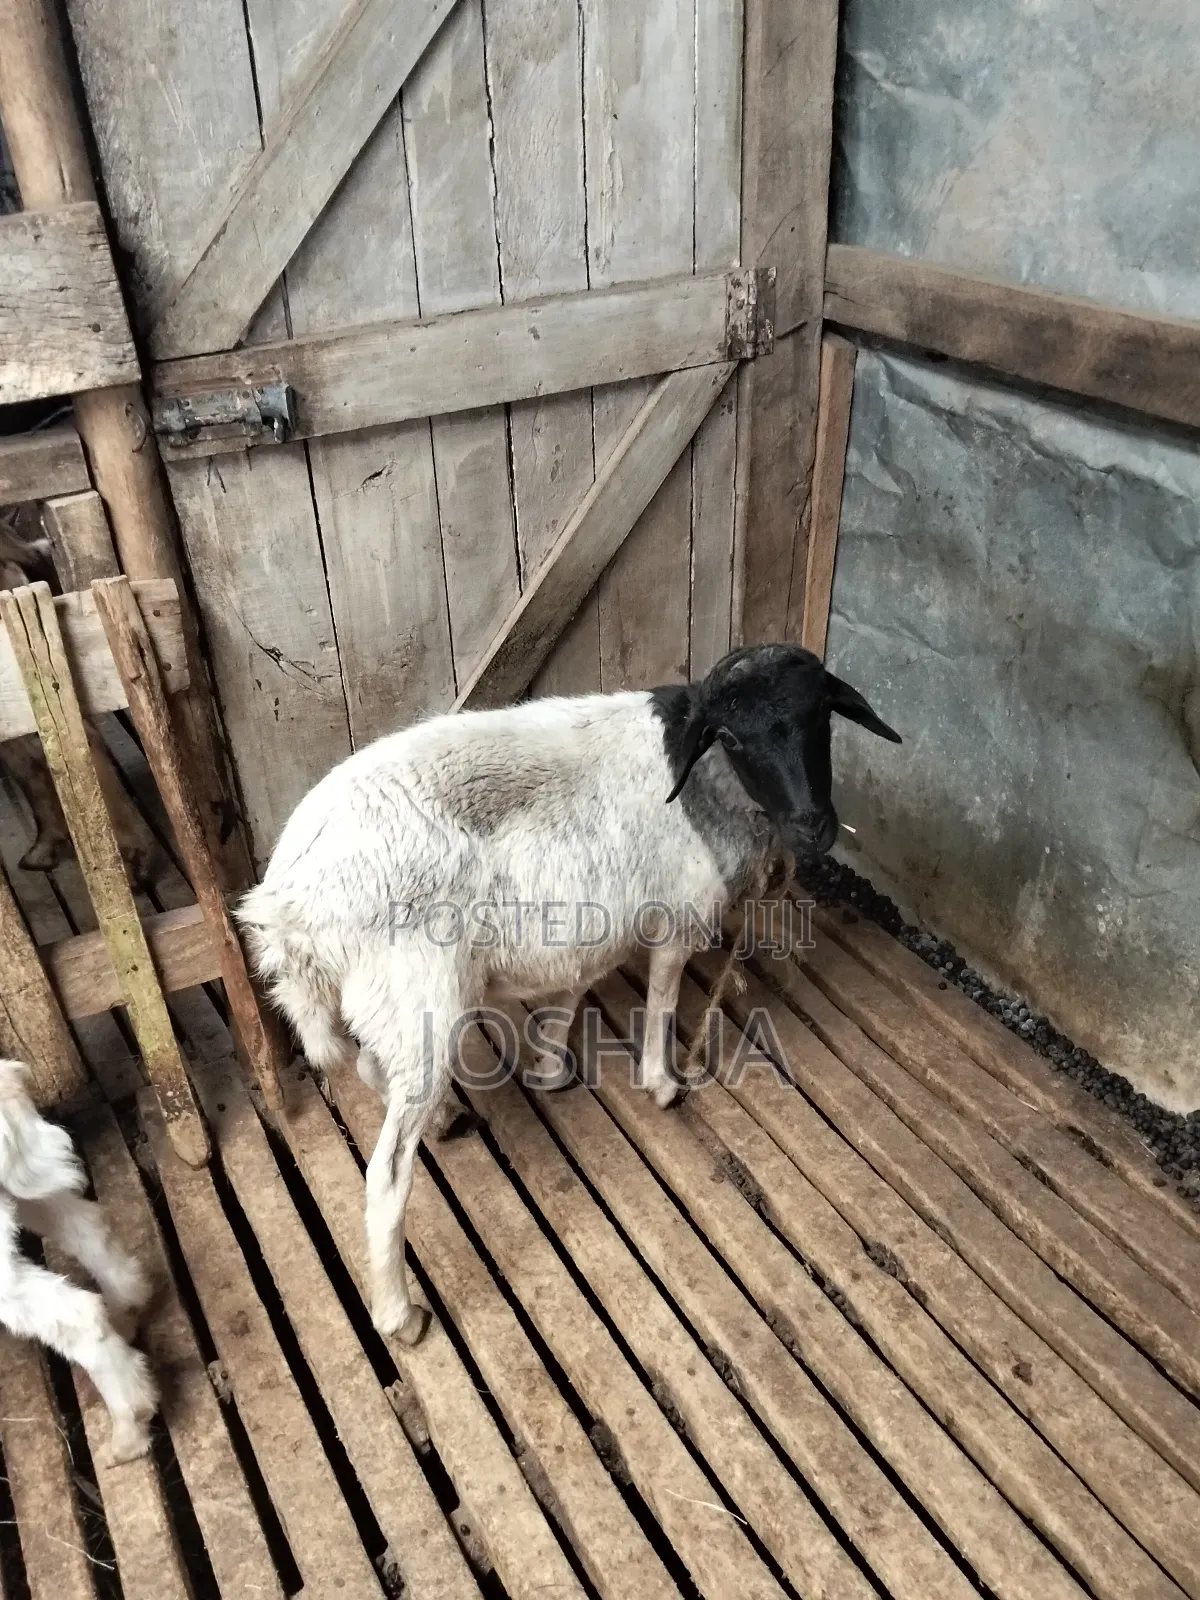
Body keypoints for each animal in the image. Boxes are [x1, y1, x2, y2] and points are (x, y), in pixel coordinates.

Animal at [238, 642, 901, 1346]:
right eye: (730, 735)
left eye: (821, 716)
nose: (813, 829)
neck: (707, 785)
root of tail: (286, 906)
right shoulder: (679, 916)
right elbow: (662, 1000)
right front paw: (662, 1083)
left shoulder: (589, 920)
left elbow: (574, 988)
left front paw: (552, 1065)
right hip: (421, 991)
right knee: (387, 1175)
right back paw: (399, 1314)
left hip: (392, 998)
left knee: (374, 1068)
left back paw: (442, 1119)